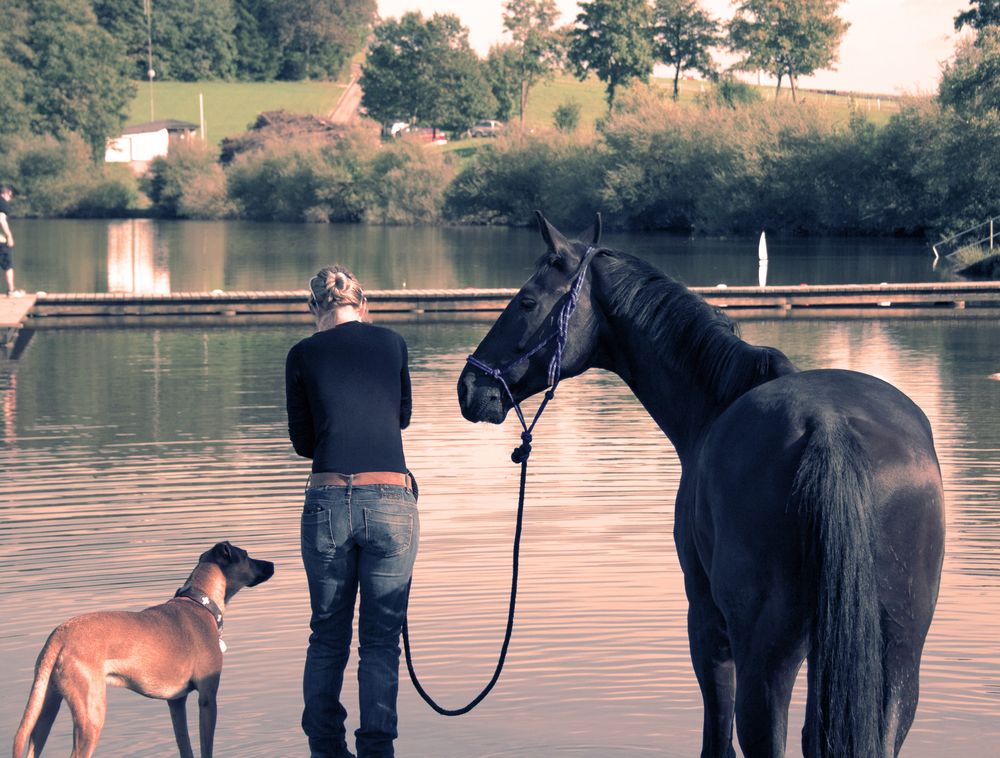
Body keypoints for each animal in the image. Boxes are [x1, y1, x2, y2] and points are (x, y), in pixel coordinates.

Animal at [12, 544, 278, 758]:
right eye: (246, 555)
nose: (272, 564)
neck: (200, 603)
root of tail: (59, 635)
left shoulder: (176, 702)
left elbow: (185, 746)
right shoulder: (207, 698)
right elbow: (206, 748)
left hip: (47, 709)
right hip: (91, 716)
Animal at [460, 215, 944, 758]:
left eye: (525, 301)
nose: (468, 387)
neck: (716, 401)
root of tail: (828, 427)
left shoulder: (706, 616)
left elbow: (716, 736)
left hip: (767, 652)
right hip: (895, 651)